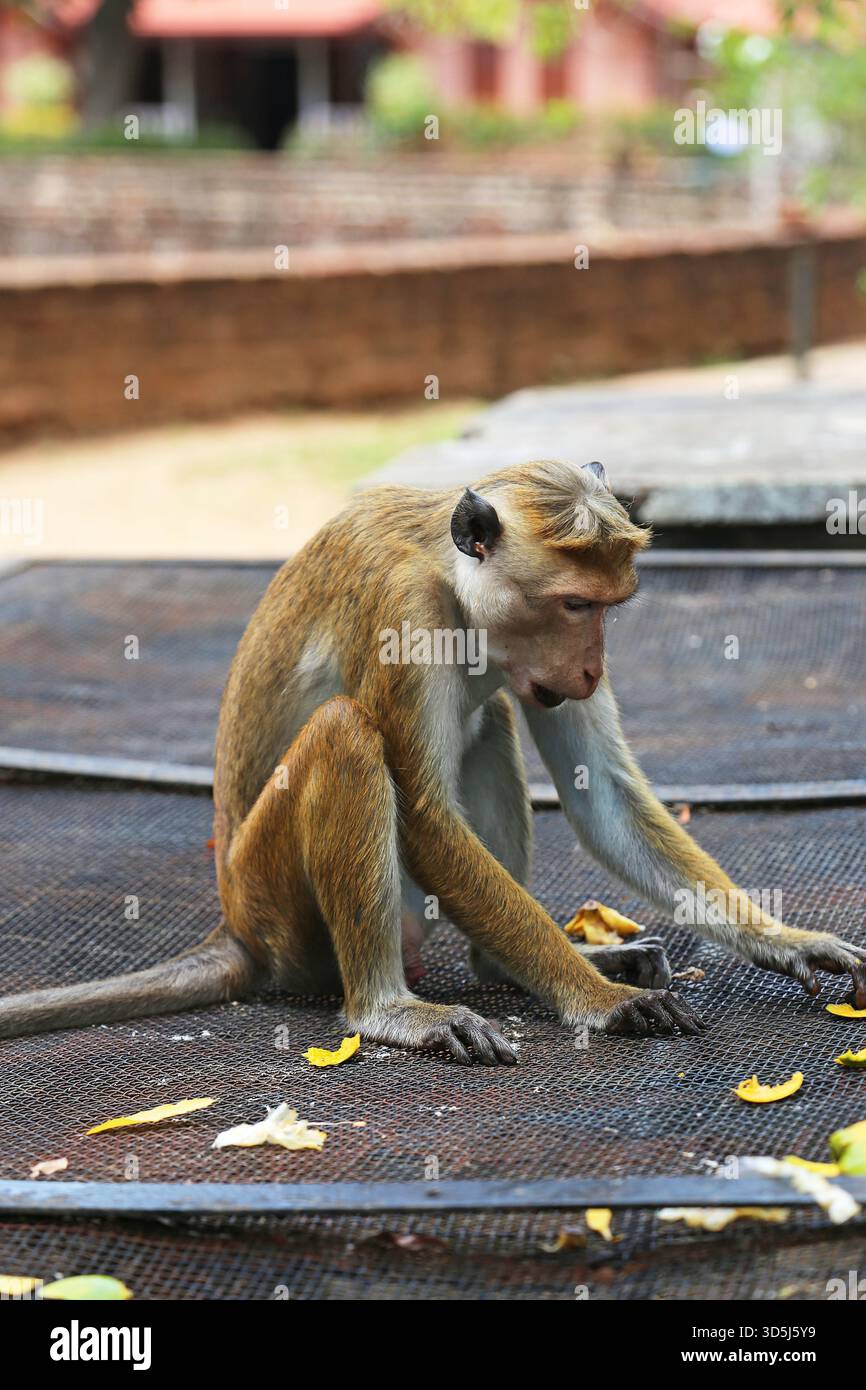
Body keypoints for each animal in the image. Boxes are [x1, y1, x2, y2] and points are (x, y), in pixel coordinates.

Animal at [2, 458, 865, 1061]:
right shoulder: (403, 613)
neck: (452, 584)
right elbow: (422, 815)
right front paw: (595, 1000)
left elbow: (605, 797)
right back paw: (386, 1009)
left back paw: (499, 963)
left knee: (490, 723)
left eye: (609, 608)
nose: (592, 670)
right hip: (276, 902)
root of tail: (235, 925)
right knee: (348, 733)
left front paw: (785, 941)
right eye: (574, 604)